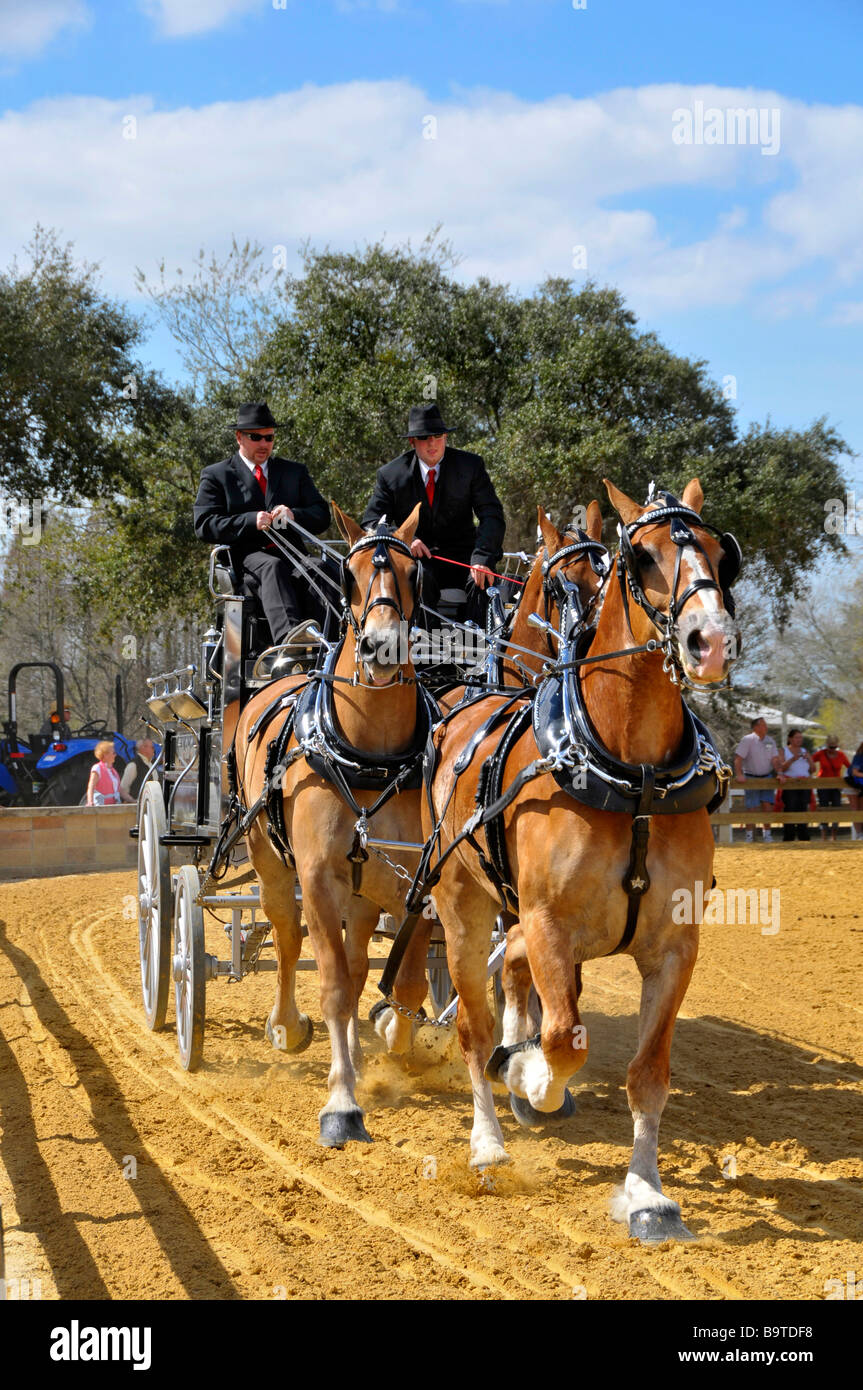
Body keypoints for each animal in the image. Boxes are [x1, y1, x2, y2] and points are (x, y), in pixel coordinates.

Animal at [418, 478, 740, 1242]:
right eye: (643, 556)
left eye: (722, 555)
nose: (710, 642)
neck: (635, 775)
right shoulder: (547, 924)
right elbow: (564, 1040)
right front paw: (529, 1078)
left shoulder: (674, 946)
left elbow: (648, 1073)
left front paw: (646, 1194)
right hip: (460, 907)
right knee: (472, 1027)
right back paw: (487, 1139)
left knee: (507, 982)